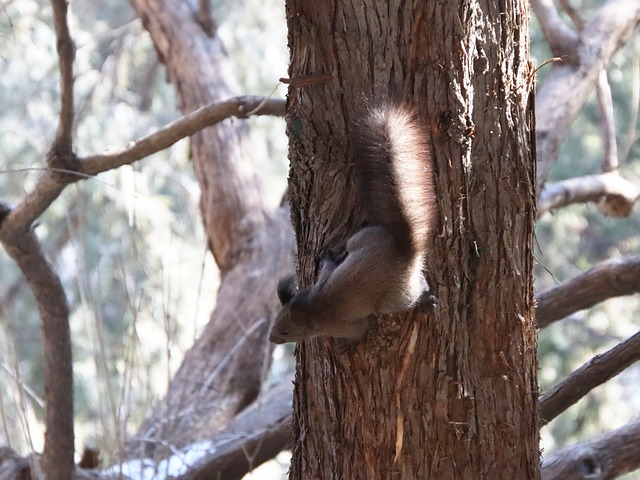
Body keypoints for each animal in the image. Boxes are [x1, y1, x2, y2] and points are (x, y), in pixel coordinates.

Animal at [268, 105, 438, 344]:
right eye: (276, 320)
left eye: (286, 331)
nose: (271, 338)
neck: (311, 307)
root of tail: (405, 248)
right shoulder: (321, 283)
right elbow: (327, 269)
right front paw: (328, 257)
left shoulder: (341, 325)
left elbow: (359, 331)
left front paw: (345, 346)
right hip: (363, 238)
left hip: (394, 298)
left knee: (412, 294)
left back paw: (425, 300)